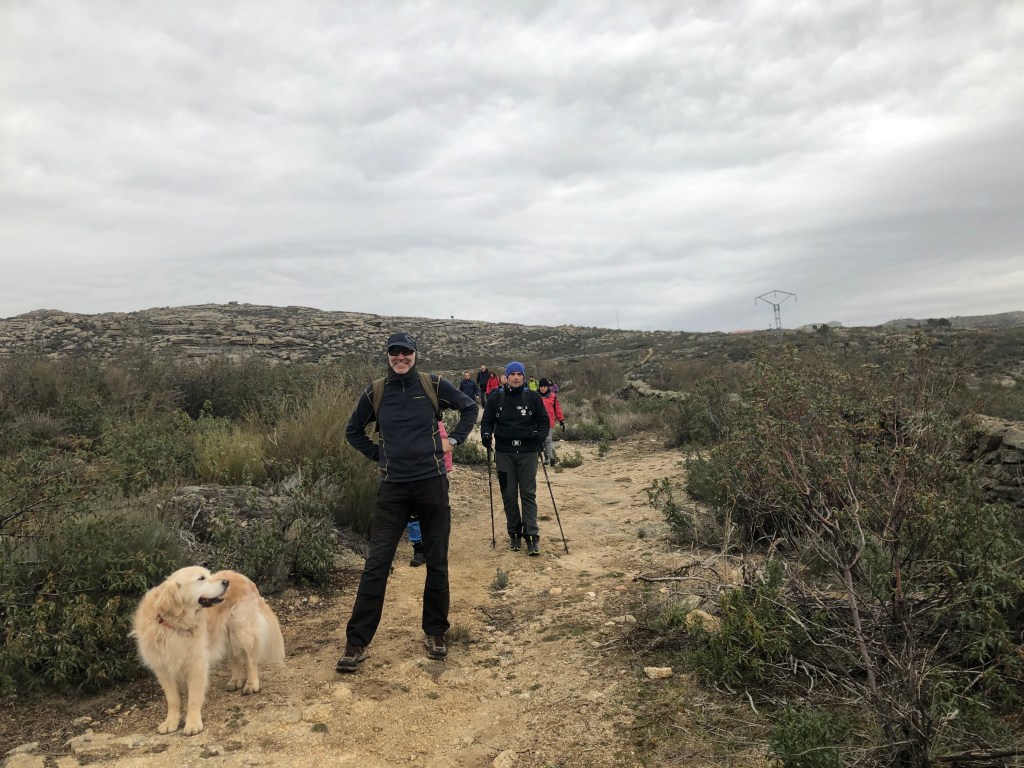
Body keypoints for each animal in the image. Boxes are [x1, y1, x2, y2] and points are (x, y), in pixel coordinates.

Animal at [130, 566, 286, 735]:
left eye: (208, 574)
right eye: (201, 578)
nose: (226, 582)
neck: (173, 625)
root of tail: (241, 576)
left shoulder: (196, 664)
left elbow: (193, 698)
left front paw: (193, 723)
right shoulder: (163, 668)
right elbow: (173, 700)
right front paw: (170, 722)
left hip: (241, 629)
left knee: (251, 659)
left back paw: (251, 684)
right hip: (226, 634)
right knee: (235, 659)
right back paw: (235, 681)